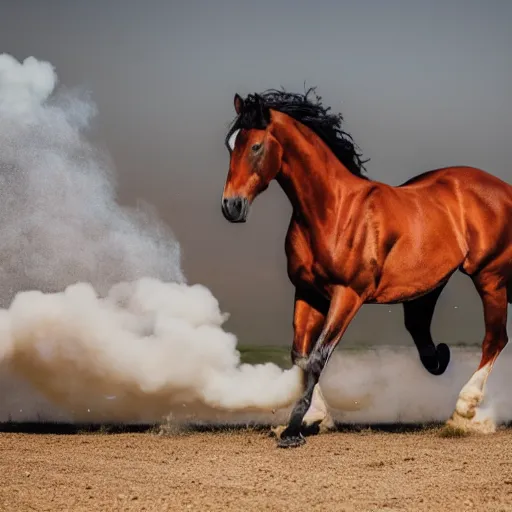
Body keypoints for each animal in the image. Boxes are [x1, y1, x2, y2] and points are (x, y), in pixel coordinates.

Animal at [220, 88, 512, 448]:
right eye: (230, 144)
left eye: (256, 146)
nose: (231, 206)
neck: (331, 210)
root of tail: (504, 190)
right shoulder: (307, 292)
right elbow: (300, 356)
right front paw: (316, 417)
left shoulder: (348, 295)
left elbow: (318, 357)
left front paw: (292, 430)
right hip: (431, 288)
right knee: (423, 329)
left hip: (491, 277)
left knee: (495, 339)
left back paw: (464, 410)